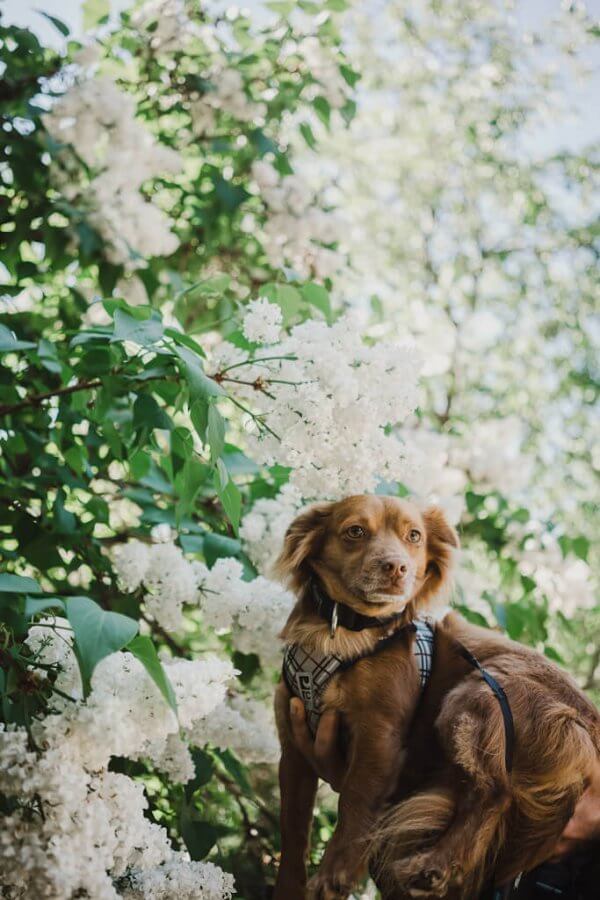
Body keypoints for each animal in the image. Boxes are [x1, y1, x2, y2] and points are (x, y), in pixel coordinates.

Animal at [274, 496, 600, 900]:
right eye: (355, 531)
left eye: (414, 536)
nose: (396, 567)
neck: (342, 630)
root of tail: (589, 724)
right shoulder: (293, 748)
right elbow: (291, 832)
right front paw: (288, 889)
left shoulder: (379, 736)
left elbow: (355, 802)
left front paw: (334, 874)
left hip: (478, 694)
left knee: (496, 792)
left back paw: (432, 866)